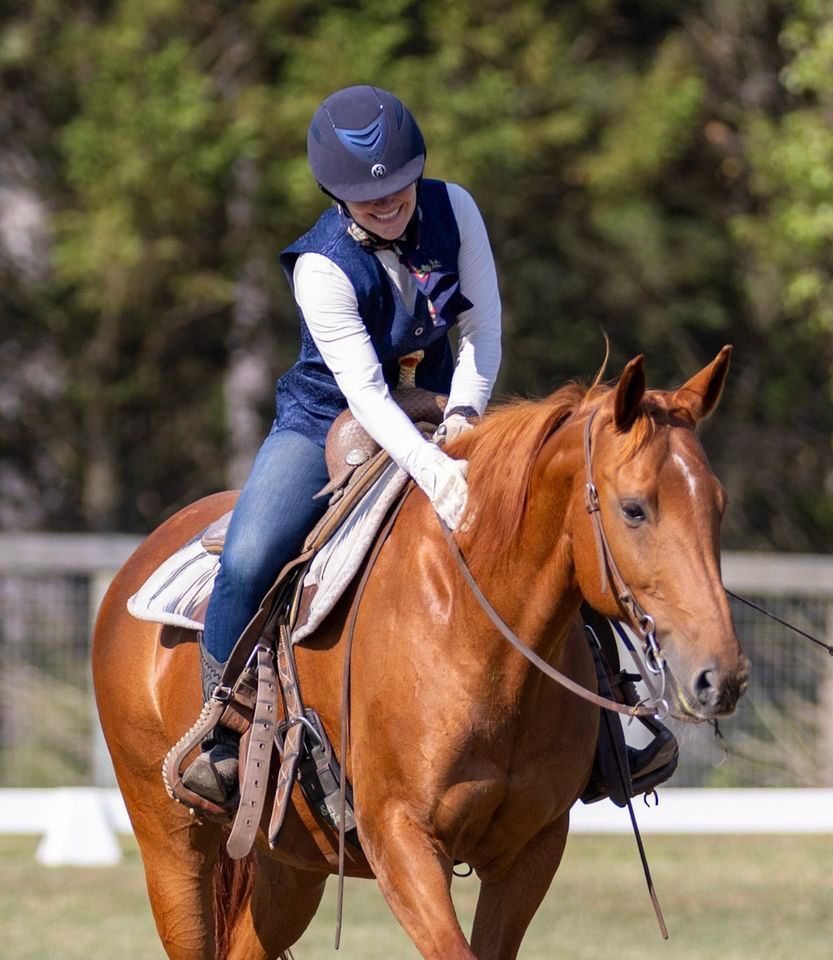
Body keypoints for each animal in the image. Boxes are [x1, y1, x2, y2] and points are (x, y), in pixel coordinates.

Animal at [92, 347, 749, 960]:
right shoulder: (401, 840)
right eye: (634, 508)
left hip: (290, 866)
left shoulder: (532, 849)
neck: (475, 633)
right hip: (172, 851)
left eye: (719, 504)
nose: (720, 676)